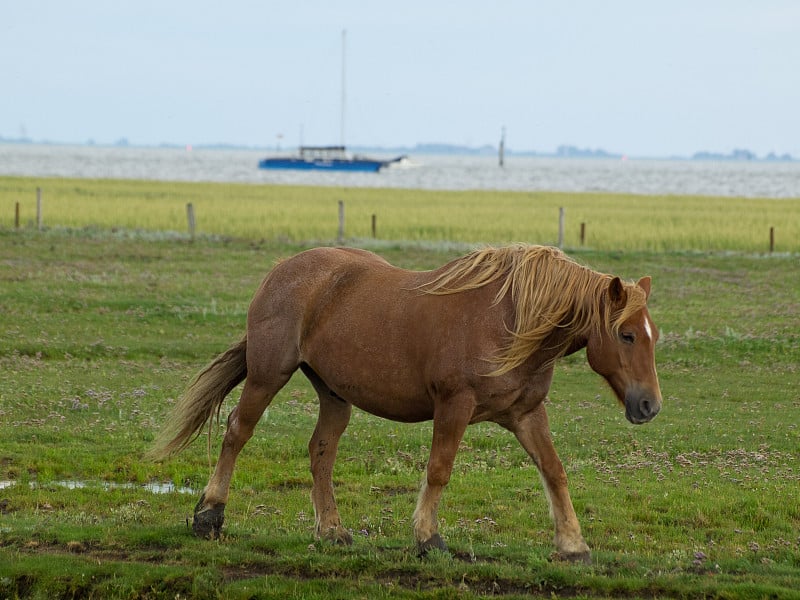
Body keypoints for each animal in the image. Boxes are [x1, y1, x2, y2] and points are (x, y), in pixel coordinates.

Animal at [152, 243, 664, 564]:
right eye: (626, 334)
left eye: (652, 334)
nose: (649, 407)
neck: (510, 321)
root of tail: (283, 269)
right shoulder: (453, 406)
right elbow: (438, 471)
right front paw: (428, 538)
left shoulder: (525, 413)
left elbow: (554, 473)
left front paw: (573, 546)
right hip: (267, 375)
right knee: (237, 431)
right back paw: (209, 516)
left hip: (334, 394)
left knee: (321, 453)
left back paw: (331, 530)